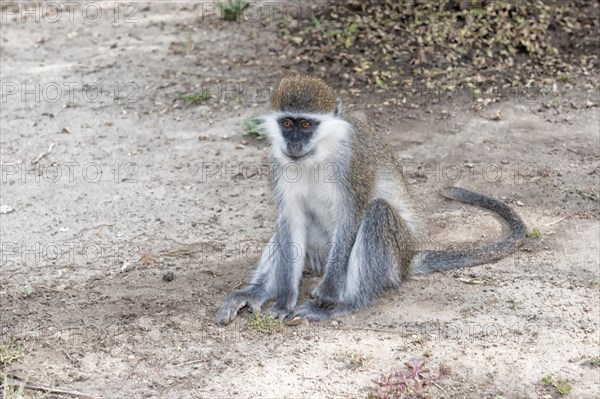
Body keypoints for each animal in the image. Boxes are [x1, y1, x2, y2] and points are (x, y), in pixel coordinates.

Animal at [217, 75, 524, 324]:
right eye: (287, 123)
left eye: (306, 124)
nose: (293, 144)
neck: (317, 154)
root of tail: (408, 258)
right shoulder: (277, 162)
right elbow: (290, 222)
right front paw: (283, 300)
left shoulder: (354, 160)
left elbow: (353, 215)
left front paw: (327, 293)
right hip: (318, 253)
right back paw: (255, 292)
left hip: (392, 254)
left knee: (378, 212)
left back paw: (347, 304)